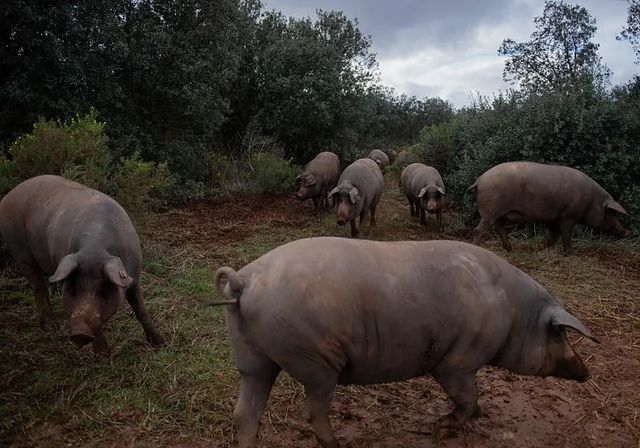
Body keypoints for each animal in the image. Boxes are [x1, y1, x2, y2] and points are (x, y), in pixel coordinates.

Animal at [0, 175, 165, 353]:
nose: (79, 333)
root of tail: (8, 196)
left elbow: (141, 310)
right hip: (19, 248)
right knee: (38, 287)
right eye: (73, 287)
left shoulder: (134, 276)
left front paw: (160, 343)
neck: (95, 249)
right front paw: (105, 354)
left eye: (104, 289)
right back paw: (52, 329)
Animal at [213, 237, 597, 448]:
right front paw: (440, 429)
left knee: (244, 412)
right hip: (314, 359)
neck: (514, 316)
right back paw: (339, 444)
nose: (586, 372)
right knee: (313, 410)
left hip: (251, 357)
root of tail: (244, 279)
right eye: (559, 332)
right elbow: (468, 398)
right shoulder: (458, 361)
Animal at [468, 161, 630, 254]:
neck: (592, 201)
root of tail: (479, 180)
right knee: (479, 230)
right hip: (490, 210)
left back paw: (510, 249)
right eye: (611, 213)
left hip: (498, 213)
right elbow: (565, 235)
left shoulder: (554, 217)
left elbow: (554, 235)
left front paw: (542, 249)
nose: (627, 232)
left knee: (499, 228)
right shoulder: (568, 217)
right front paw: (567, 254)